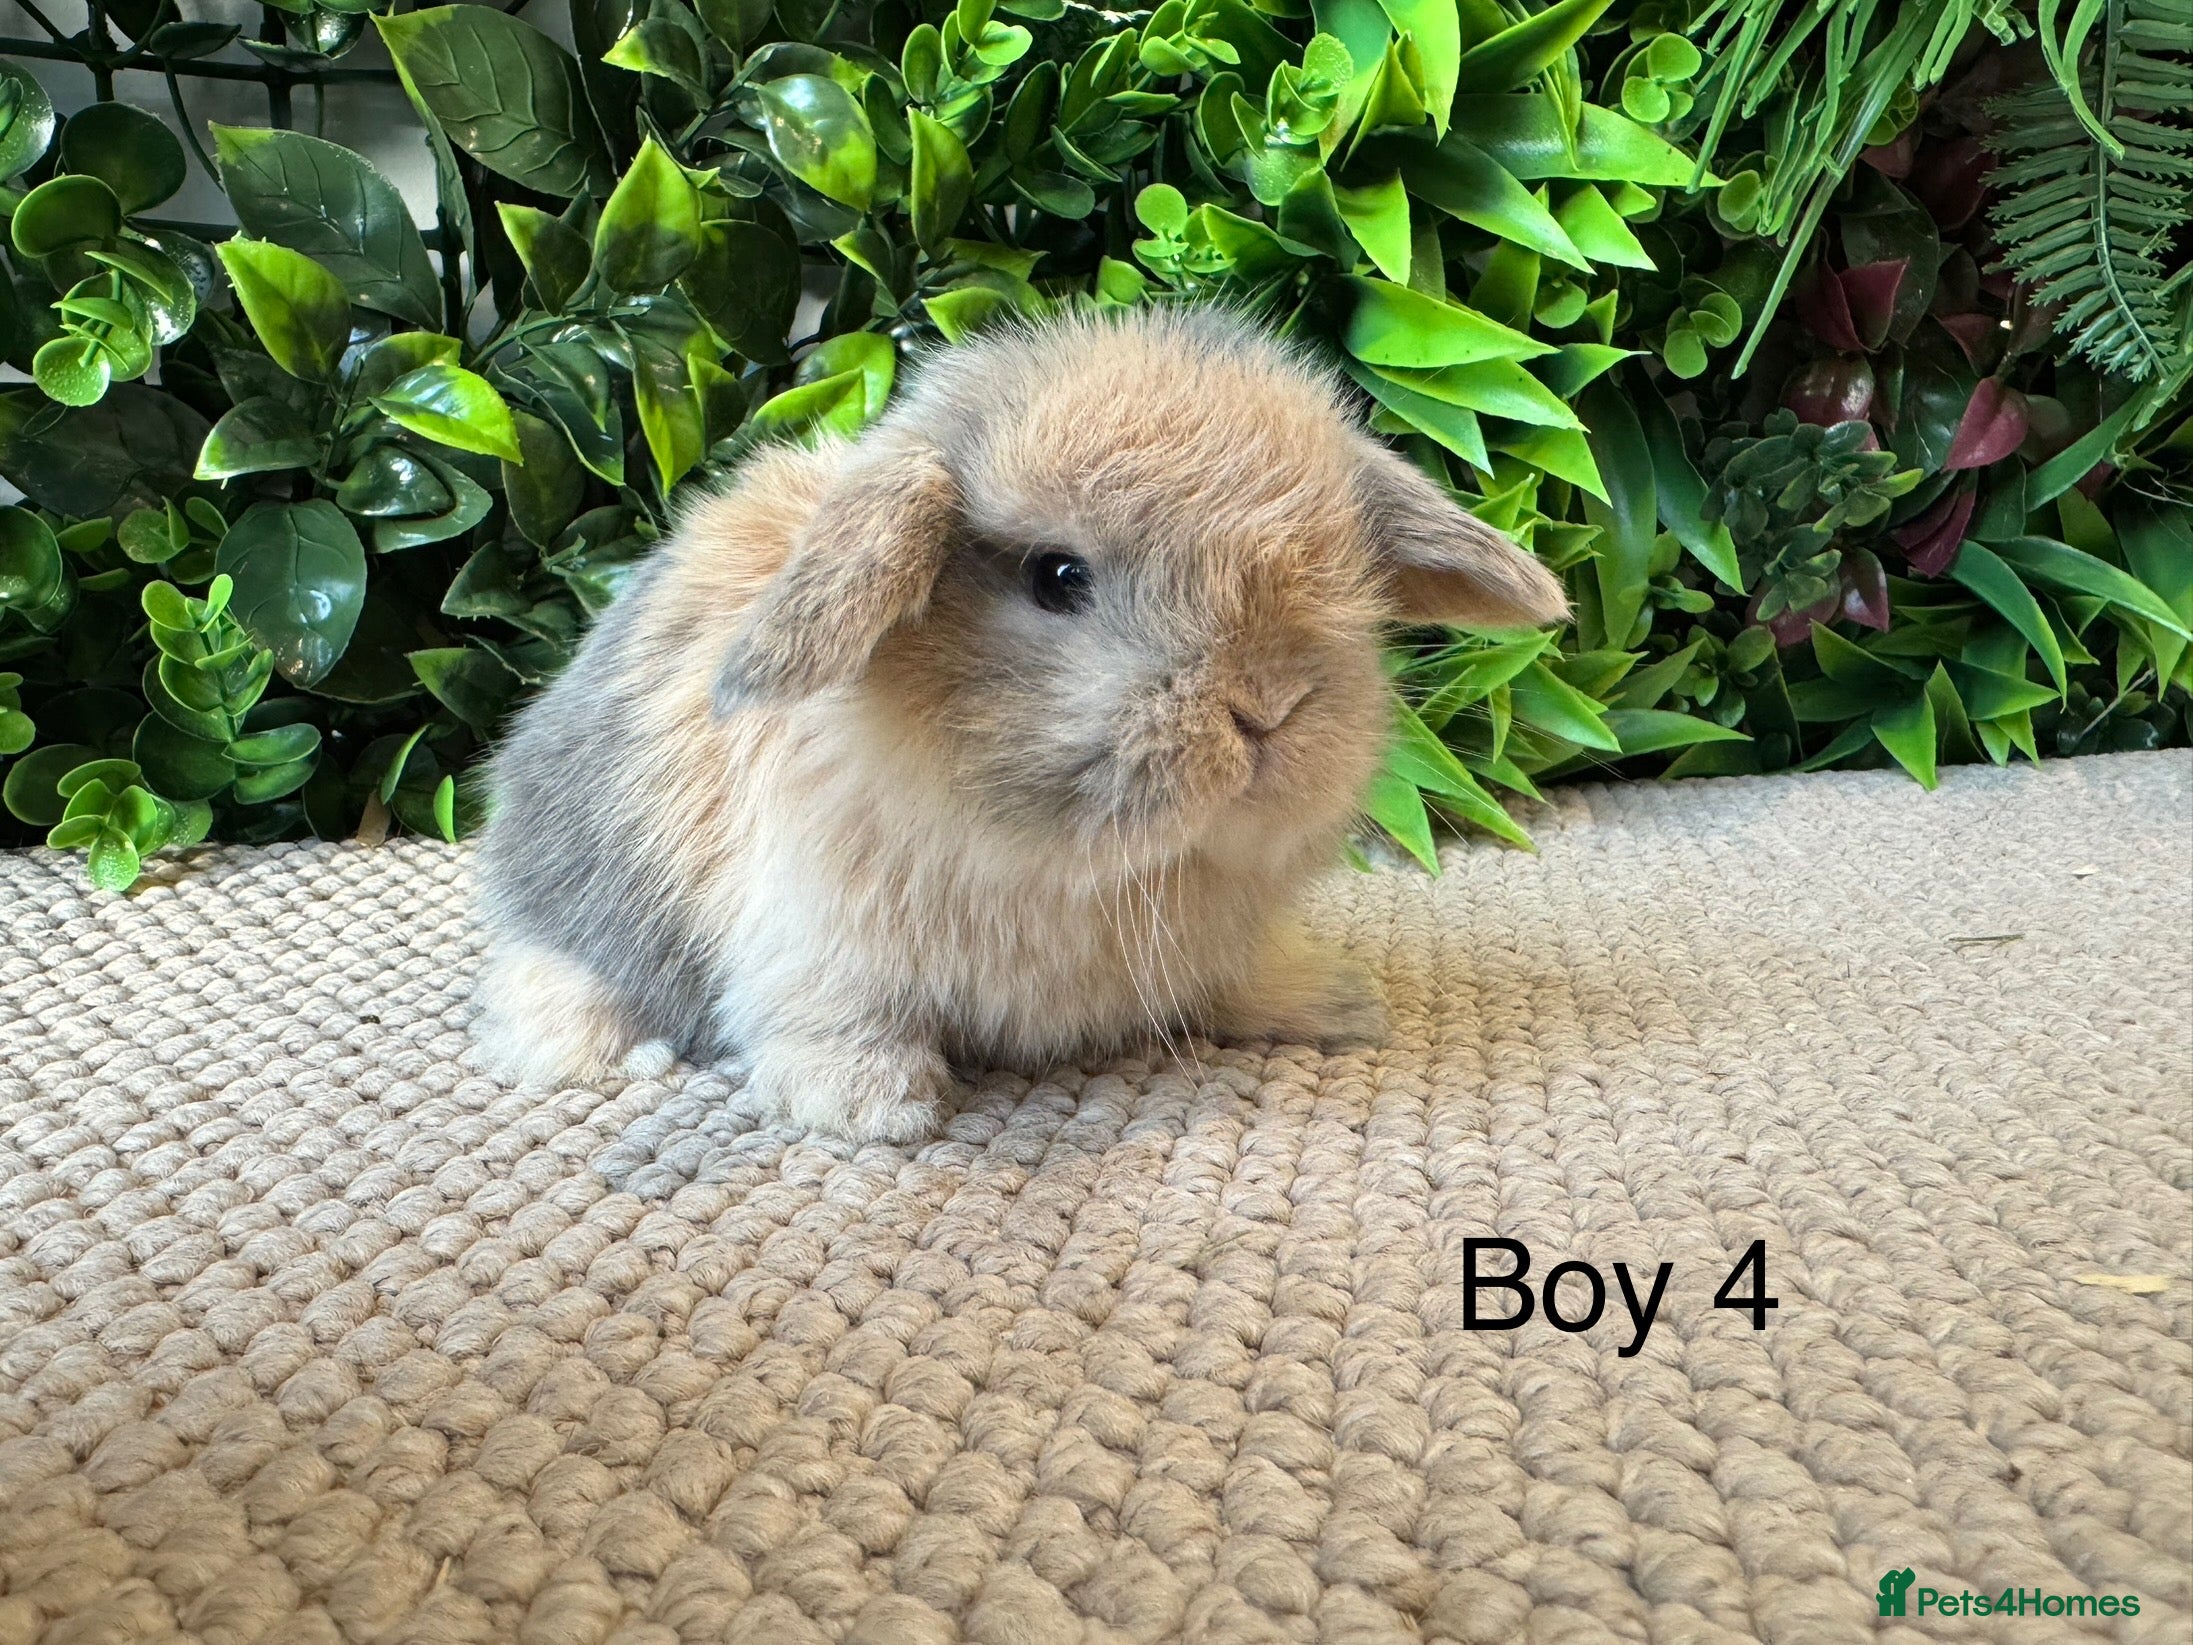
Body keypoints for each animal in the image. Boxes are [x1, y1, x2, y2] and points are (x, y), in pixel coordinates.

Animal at [471, 305, 1567, 1141]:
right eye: (1057, 576)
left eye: (1339, 570)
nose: (1265, 709)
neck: (1079, 867)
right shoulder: (814, 944)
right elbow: (828, 1019)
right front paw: (874, 1106)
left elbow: (1239, 980)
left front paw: (1337, 1003)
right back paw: (601, 1051)